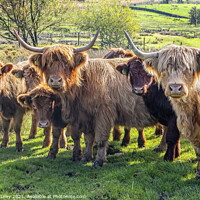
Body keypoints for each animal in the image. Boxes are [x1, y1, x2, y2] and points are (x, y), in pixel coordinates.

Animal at [14, 30, 158, 167]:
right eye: (47, 63)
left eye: (67, 64)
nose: (55, 80)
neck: (83, 84)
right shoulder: (84, 116)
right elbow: (88, 138)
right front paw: (86, 157)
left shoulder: (103, 115)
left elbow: (100, 139)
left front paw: (99, 161)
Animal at [123, 32, 200, 177]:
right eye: (131, 72)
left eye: (188, 68)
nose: (175, 88)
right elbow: (167, 131)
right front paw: (166, 149)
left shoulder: (175, 116)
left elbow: (172, 135)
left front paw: (169, 156)